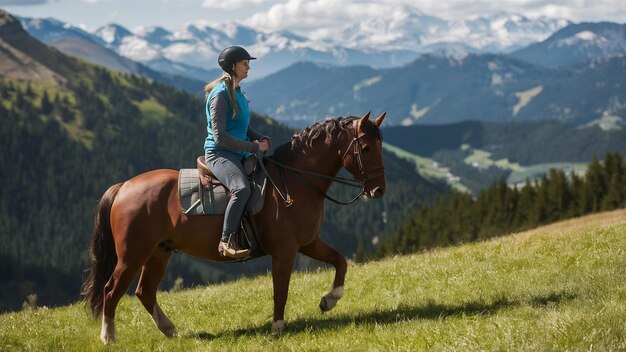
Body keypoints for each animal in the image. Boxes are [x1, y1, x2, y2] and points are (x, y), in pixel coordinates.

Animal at [81, 112, 386, 344]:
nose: (379, 190)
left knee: (145, 292)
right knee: (111, 290)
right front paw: (277, 326)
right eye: (366, 148)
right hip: (132, 256)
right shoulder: (285, 251)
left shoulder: (309, 243)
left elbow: (340, 261)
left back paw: (170, 330)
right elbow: (281, 287)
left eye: (381, 146)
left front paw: (330, 300)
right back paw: (108, 337)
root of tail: (123, 187)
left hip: (158, 253)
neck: (295, 180)